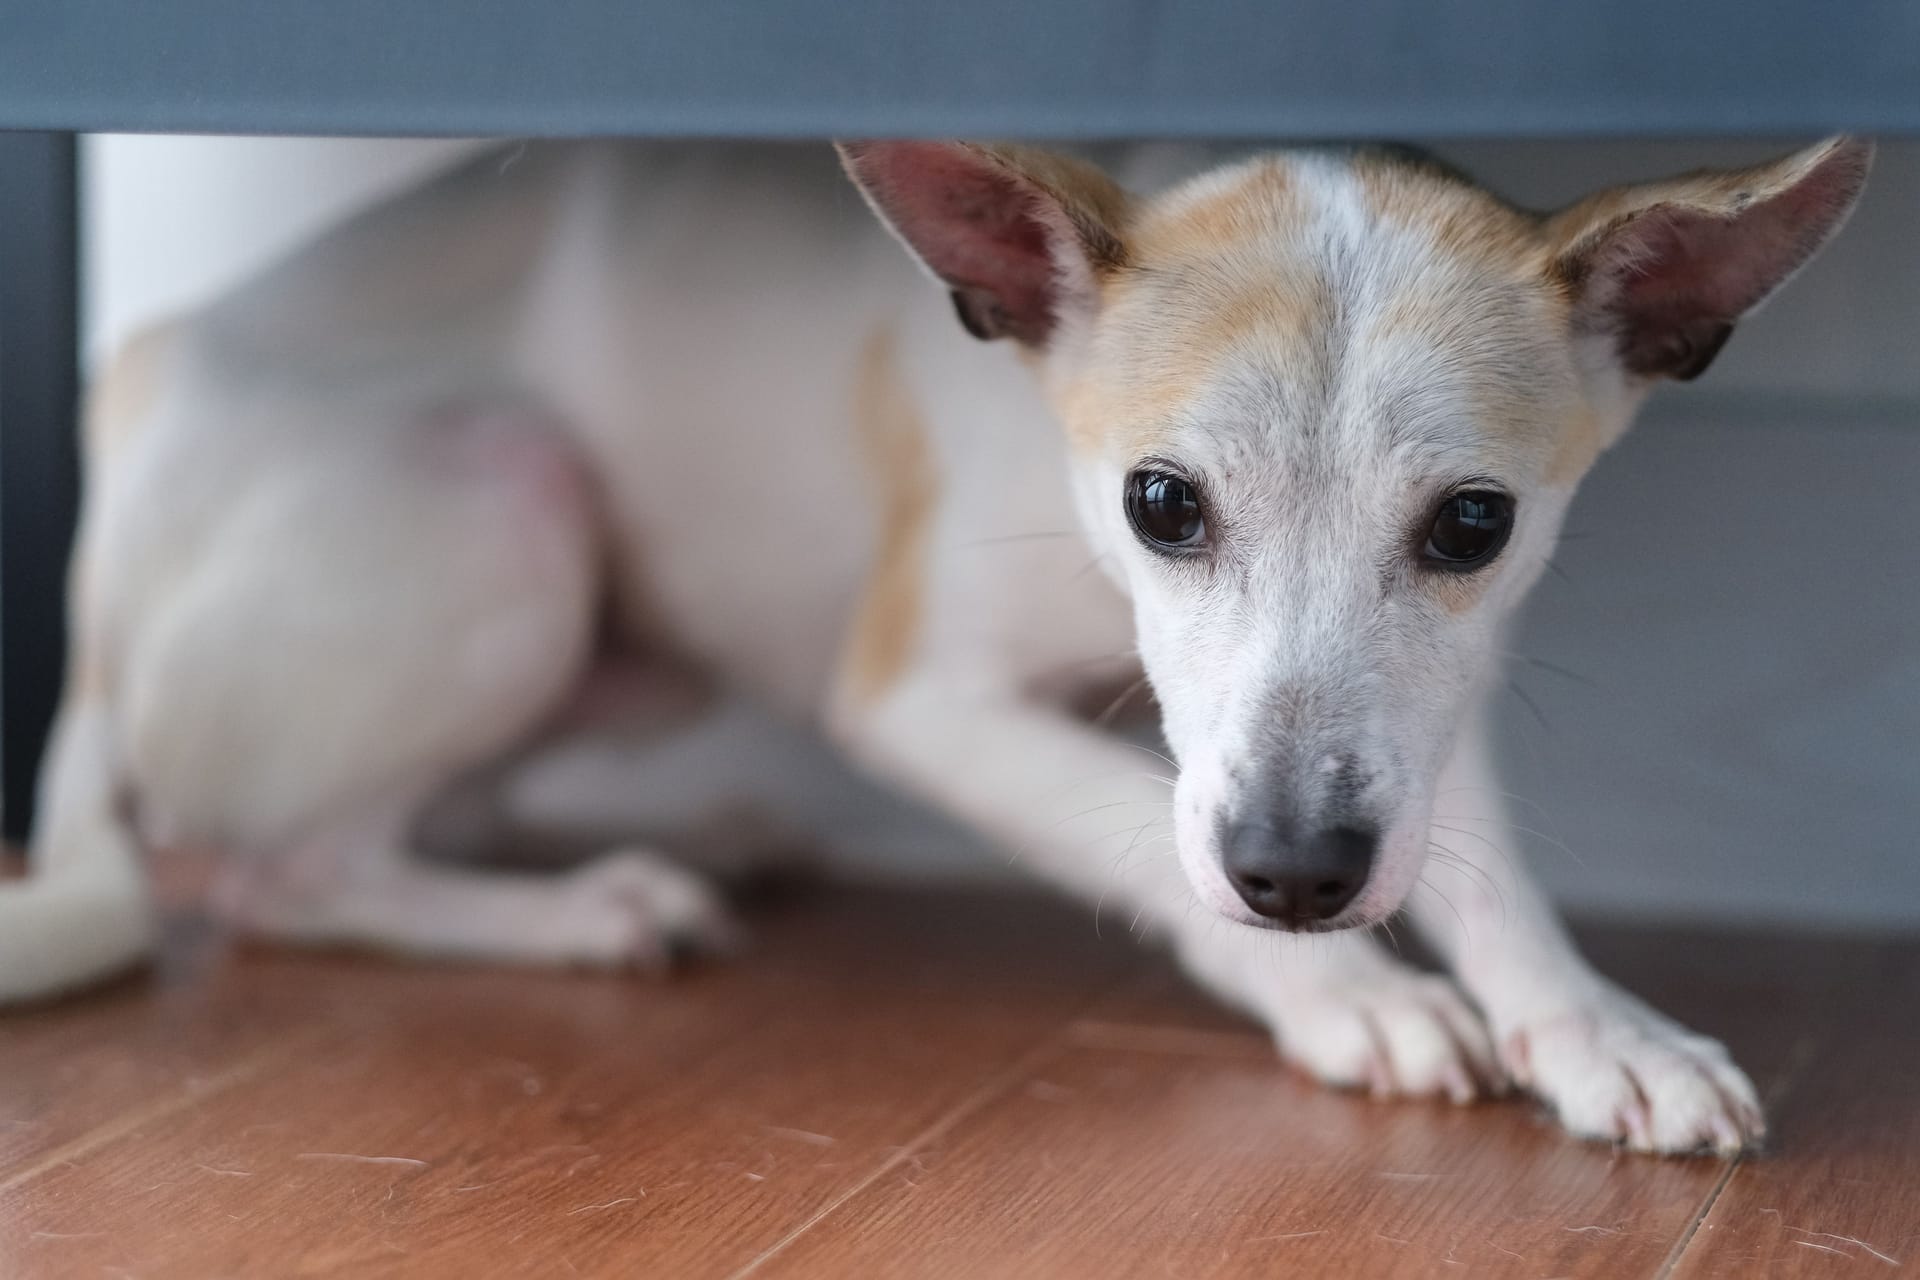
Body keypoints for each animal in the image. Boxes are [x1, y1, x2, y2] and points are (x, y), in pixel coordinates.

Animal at [0, 135, 1858, 1159]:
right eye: (1162, 504)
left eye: (1474, 526)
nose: (1297, 875)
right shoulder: (924, 700)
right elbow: (1139, 828)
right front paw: (1352, 995)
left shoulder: (1419, 715)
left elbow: (1486, 869)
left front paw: (1590, 1024)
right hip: (518, 513)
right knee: (271, 873)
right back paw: (586, 908)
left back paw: (681, 841)